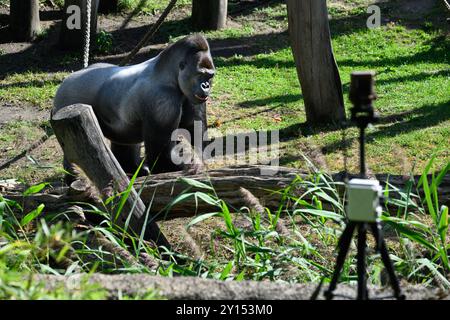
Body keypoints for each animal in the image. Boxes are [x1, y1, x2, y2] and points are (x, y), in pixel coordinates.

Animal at [52, 35, 214, 181]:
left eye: (210, 76)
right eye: (200, 74)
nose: (206, 86)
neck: (170, 73)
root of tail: (65, 81)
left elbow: (194, 127)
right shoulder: (163, 100)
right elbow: (162, 155)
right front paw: (181, 166)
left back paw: (130, 169)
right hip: (67, 102)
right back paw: (74, 176)